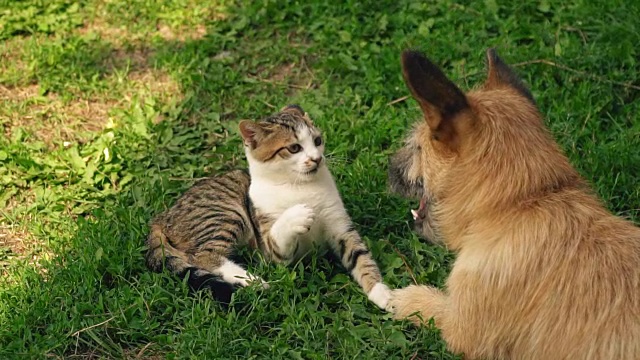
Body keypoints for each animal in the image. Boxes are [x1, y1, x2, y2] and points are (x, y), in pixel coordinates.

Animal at [146, 104, 392, 310]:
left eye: (318, 141)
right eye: (294, 148)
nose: (317, 159)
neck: (298, 185)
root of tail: (162, 216)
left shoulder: (340, 226)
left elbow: (360, 256)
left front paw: (381, 292)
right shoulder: (275, 253)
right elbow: (279, 237)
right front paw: (296, 215)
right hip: (224, 214)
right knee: (203, 256)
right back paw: (253, 281)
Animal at [384, 48, 640, 360]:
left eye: (417, 147)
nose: (388, 169)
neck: (523, 201)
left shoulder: (459, 326)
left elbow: (427, 302)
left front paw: (401, 298)